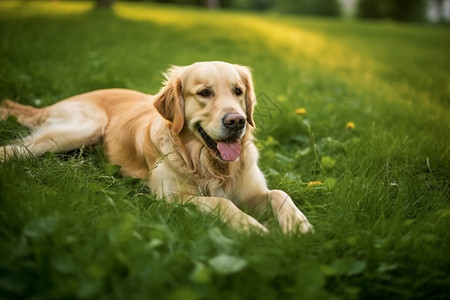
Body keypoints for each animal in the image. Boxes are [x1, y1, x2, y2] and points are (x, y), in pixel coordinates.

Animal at [0, 61, 312, 234]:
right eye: (204, 93)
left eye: (238, 91)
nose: (237, 121)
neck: (209, 166)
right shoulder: (170, 198)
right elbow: (220, 202)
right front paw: (251, 227)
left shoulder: (253, 192)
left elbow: (280, 194)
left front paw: (298, 226)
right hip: (82, 127)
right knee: (16, 148)